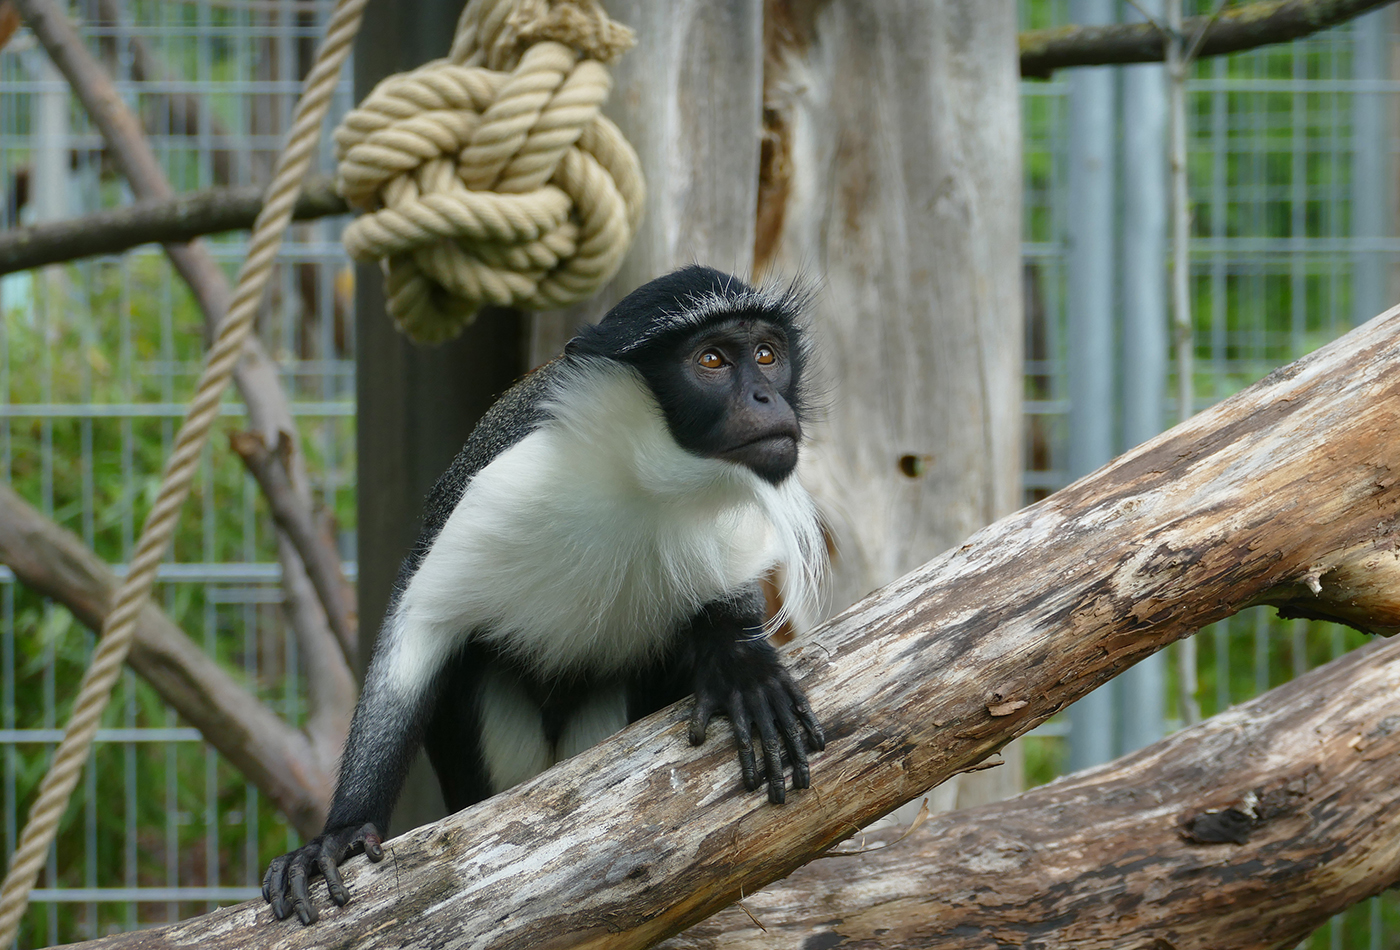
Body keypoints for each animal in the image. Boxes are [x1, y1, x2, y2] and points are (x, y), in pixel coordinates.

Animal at [261, 264, 823, 923]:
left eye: (766, 355)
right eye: (711, 359)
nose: (768, 399)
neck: (639, 476)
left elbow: (727, 607)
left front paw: (744, 669)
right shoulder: (507, 482)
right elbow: (422, 625)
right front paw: (342, 834)